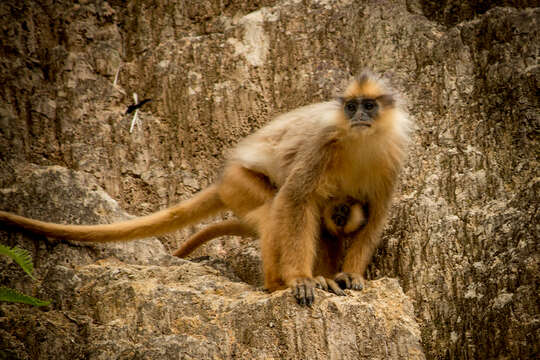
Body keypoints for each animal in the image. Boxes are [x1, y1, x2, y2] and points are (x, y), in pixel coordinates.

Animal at [0, 71, 410, 306]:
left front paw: (351, 275)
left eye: (369, 106)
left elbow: (375, 218)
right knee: (277, 208)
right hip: (240, 183)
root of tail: (223, 178)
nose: (358, 115)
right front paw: (300, 280)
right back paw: (279, 284)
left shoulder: (391, 159)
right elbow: (295, 201)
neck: (359, 143)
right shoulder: (322, 143)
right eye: (352, 106)